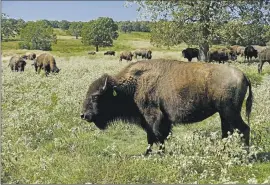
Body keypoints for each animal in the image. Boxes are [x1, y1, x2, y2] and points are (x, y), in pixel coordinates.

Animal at [80, 59, 253, 155]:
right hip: (224, 114)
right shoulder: (152, 120)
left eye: (95, 96)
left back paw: (245, 154)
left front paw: (158, 153)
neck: (134, 84)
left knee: (244, 129)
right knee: (227, 132)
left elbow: (157, 136)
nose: (84, 115)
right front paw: (149, 153)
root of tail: (243, 75)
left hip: (230, 112)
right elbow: (153, 137)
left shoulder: (153, 117)